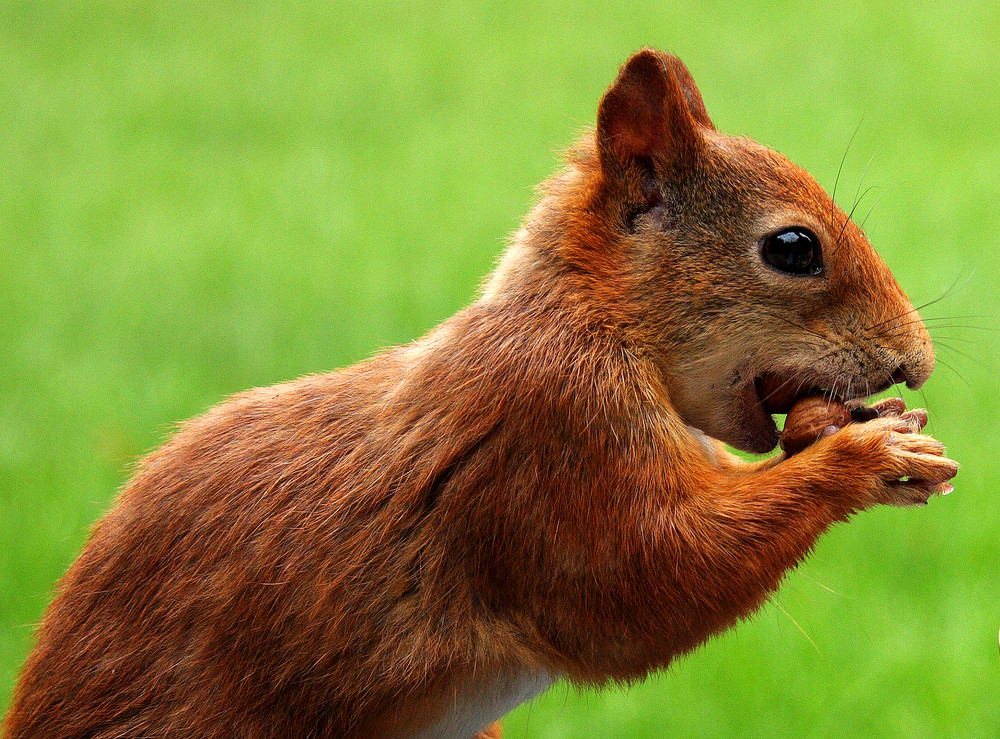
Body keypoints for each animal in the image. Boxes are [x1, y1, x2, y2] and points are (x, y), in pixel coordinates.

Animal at [5, 49, 960, 736]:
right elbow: (646, 581)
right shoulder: (548, 436)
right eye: (793, 248)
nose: (917, 360)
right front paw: (866, 455)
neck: (594, 325)